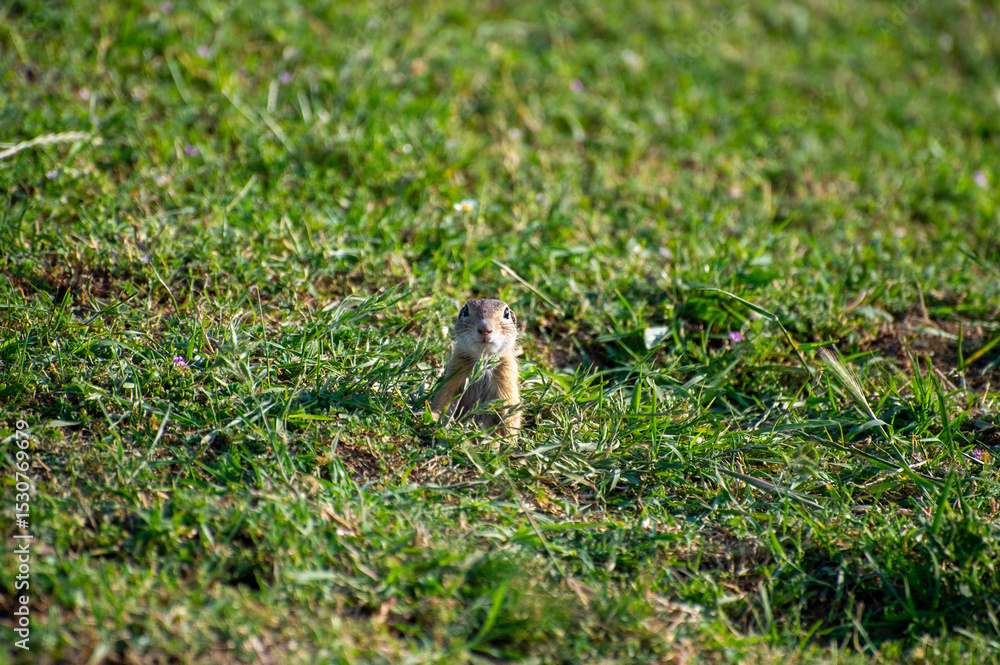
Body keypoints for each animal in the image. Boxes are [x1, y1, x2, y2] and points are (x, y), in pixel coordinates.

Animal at [430, 298, 522, 436]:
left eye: (506, 313)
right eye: (466, 310)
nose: (485, 329)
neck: (483, 360)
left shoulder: (506, 380)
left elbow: (510, 413)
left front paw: (508, 438)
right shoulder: (455, 373)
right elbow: (444, 398)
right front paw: (434, 417)